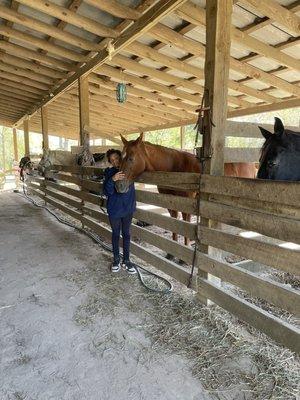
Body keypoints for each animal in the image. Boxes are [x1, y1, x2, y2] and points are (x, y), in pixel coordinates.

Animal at [115, 134, 255, 245]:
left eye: (131, 158)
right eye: (120, 158)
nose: (118, 185)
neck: (174, 168)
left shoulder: (188, 203)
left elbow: (186, 223)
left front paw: (185, 250)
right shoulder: (170, 202)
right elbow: (174, 222)